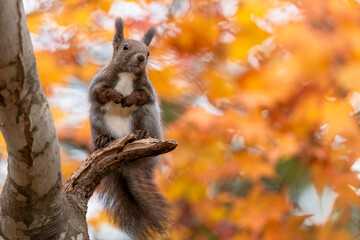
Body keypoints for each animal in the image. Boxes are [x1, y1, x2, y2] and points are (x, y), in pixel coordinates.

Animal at [88, 18, 171, 240]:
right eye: (125, 47)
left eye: (148, 52)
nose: (141, 57)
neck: (127, 74)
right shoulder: (98, 83)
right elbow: (100, 92)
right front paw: (115, 96)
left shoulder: (147, 91)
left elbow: (143, 96)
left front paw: (129, 98)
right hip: (97, 119)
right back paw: (102, 140)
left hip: (146, 116)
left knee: (144, 120)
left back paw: (141, 134)